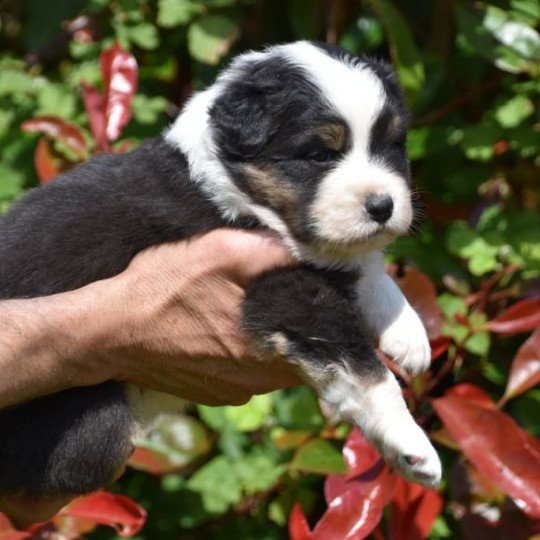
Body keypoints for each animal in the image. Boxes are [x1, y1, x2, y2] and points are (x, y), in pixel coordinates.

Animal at [0, 41, 440, 498]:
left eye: (391, 145)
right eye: (320, 154)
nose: (383, 206)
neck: (233, 190)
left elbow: (364, 267)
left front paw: (408, 333)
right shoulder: (287, 293)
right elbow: (367, 374)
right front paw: (412, 447)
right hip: (92, 433)